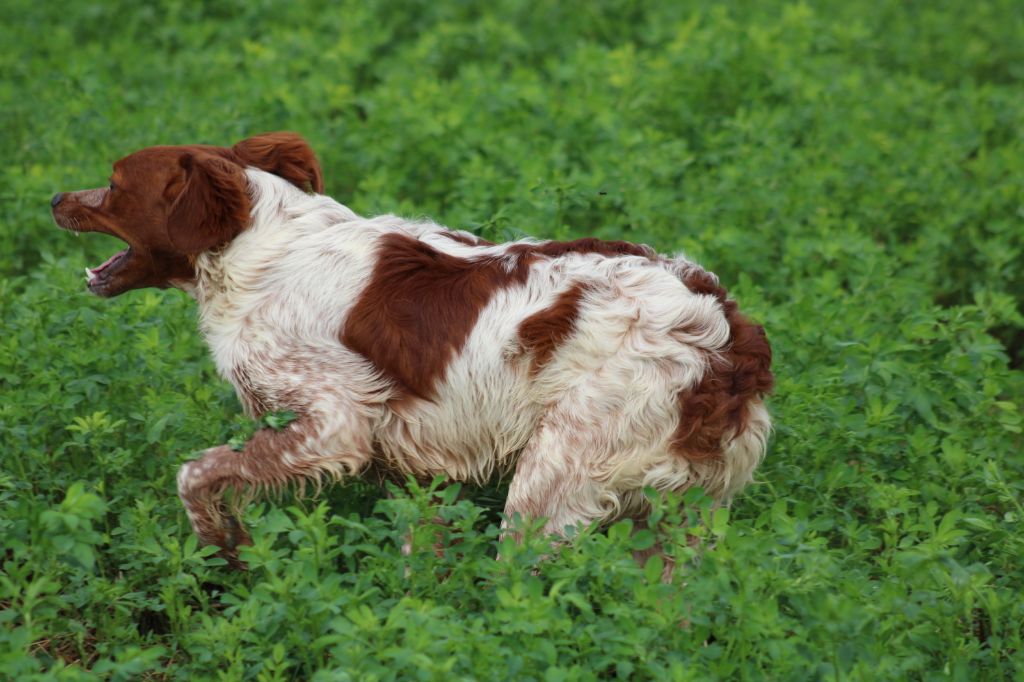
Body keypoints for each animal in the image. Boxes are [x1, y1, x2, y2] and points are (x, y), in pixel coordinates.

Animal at [51, 131, 770, 561]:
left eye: (114, 183)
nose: (55, 196)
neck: (258, 246)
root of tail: (728, 340)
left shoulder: (335, 422)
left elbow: (197, 473)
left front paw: (222, 543)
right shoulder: (420, 463)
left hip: (553, 481)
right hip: (680, 516)